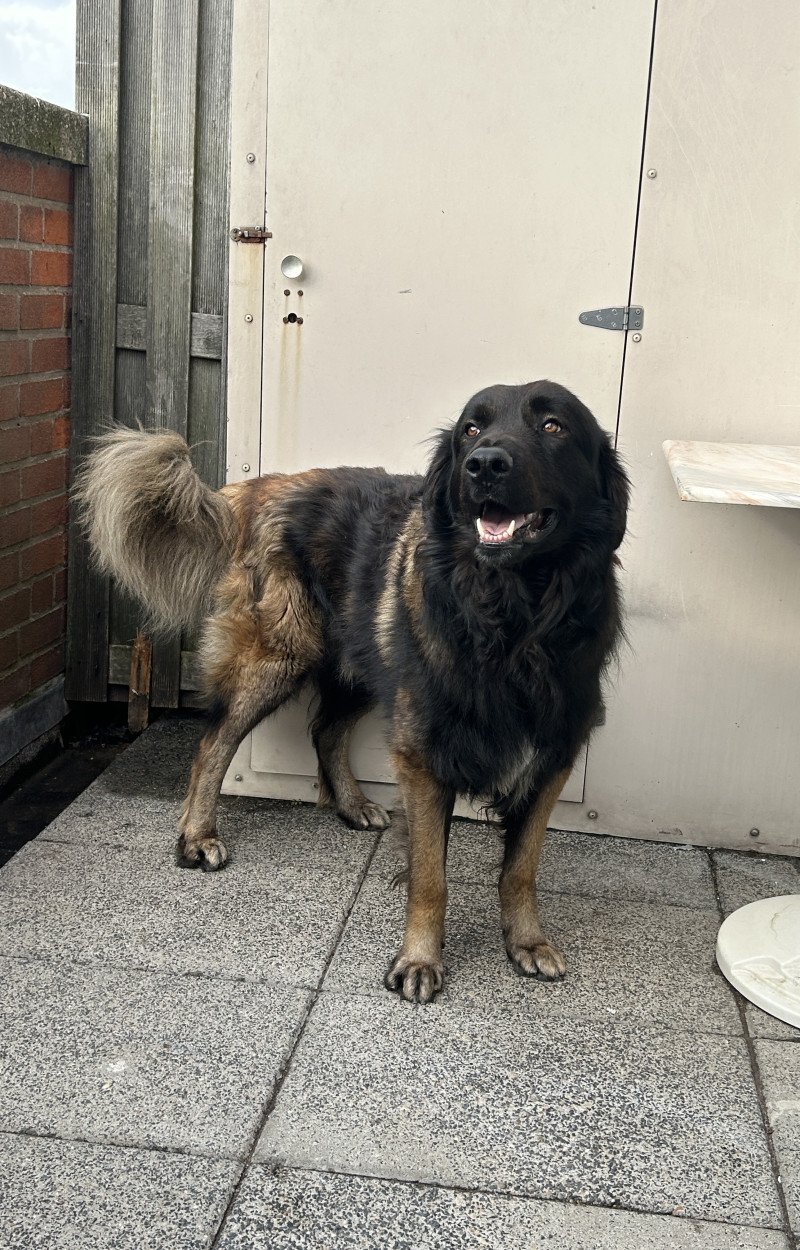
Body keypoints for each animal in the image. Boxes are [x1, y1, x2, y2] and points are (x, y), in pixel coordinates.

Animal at [81, 380, 630, 1005]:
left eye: (553, 426)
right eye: (471, 429)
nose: (485, 464)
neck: (512, 620)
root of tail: (261, 487)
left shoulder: (552, 754)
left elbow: (521, 867)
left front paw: (527, 942)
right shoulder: (422, 753)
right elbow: (430, 877)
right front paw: (419, 961)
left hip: (363, 661)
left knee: (325, 730)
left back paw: (350, 805)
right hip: (280, 659)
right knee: (213, 744)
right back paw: (198, 836)